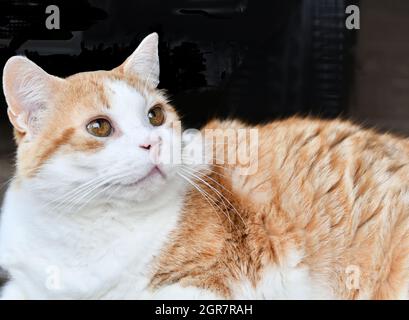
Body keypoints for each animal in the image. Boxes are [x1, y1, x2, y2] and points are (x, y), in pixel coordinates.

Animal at [0, 33, 406, 300]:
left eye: (155, 115)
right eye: (99, 127)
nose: (153, 143)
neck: (89, 224)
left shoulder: (209, 282)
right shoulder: (23, 281)